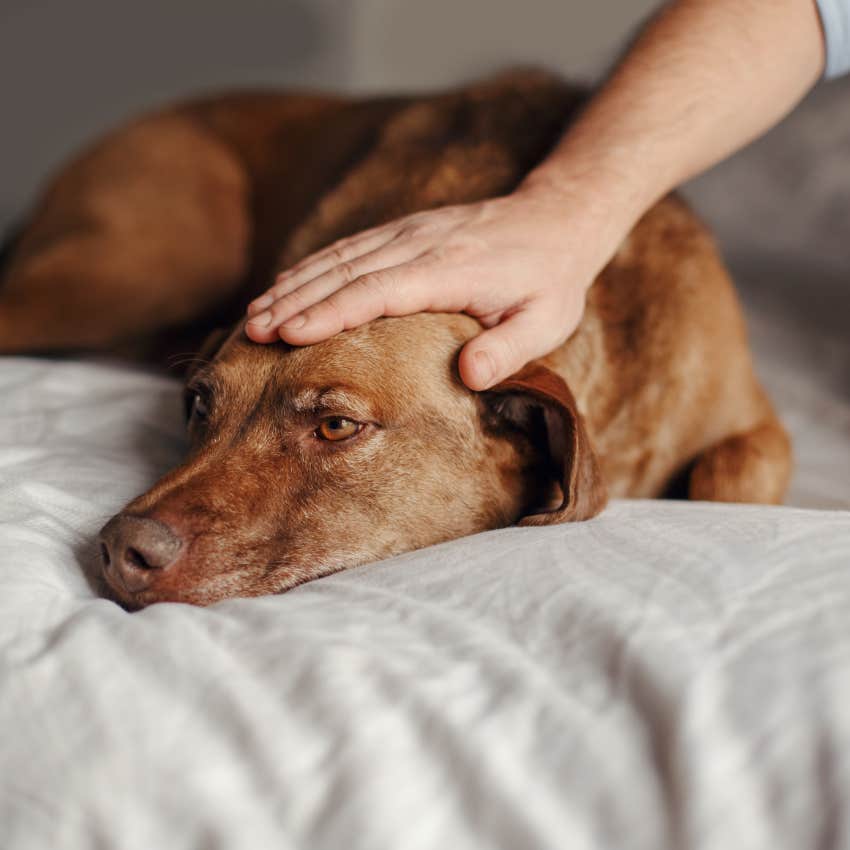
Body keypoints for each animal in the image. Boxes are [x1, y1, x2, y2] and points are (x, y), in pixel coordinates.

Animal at [3, 69, 792, 608]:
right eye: (199, 404)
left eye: (336, 426)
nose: (118, 550)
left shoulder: (754, 423)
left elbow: (731, 476)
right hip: (138, 267)